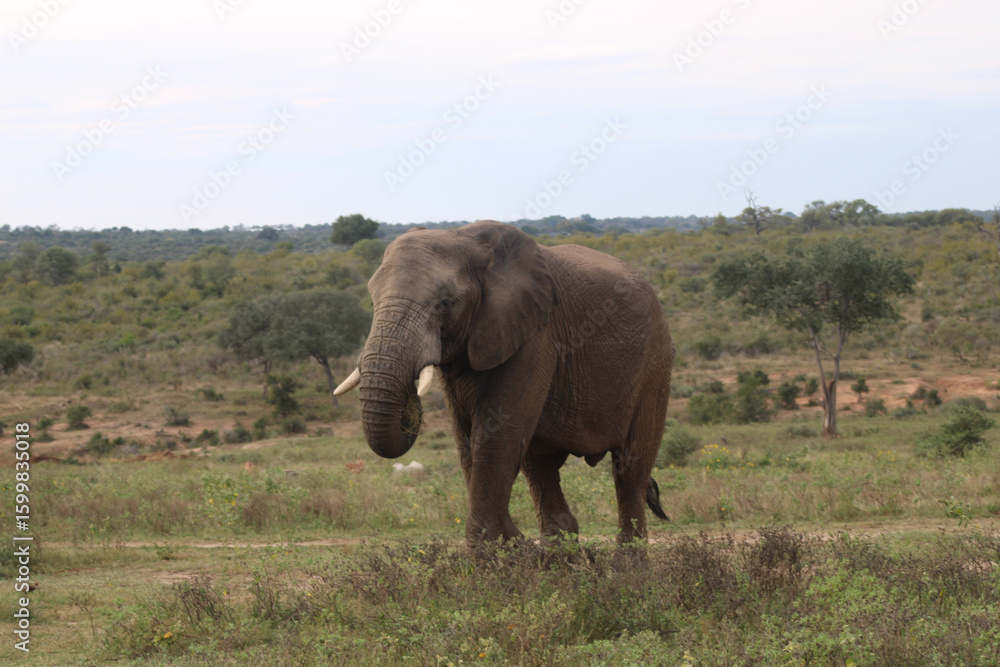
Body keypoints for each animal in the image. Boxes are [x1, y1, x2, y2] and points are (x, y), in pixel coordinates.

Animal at [335, 221, 675, 547]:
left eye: (445, 302)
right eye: (372, 301)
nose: (411, 402)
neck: (466, 240)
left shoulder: (535, 335)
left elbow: (496, 436)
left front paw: (492, 556)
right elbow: (467, 441)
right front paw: (510, 549)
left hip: (655, 362)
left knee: (630, 467)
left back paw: (625, 560)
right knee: (540, 467)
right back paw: (559, 556)